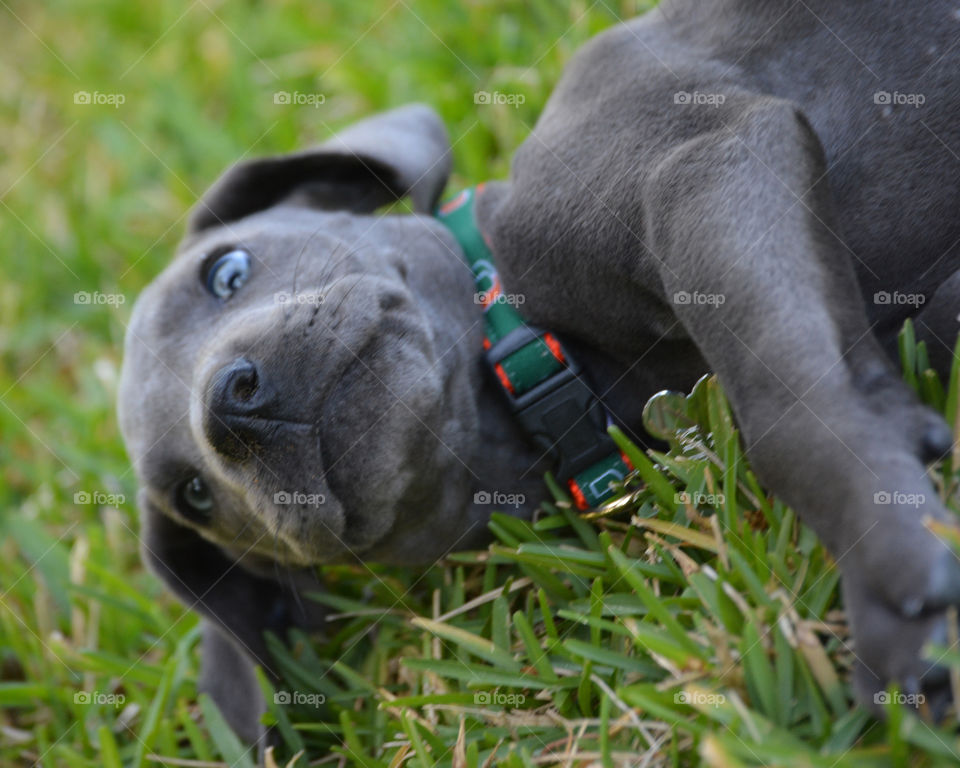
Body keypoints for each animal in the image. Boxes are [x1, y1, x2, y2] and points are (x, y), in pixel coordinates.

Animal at [122, 0, 960, 744]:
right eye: (193, 495)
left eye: (227, 271)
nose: (230, 406)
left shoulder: (705, 159)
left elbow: (787, 412)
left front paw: (887, 562)